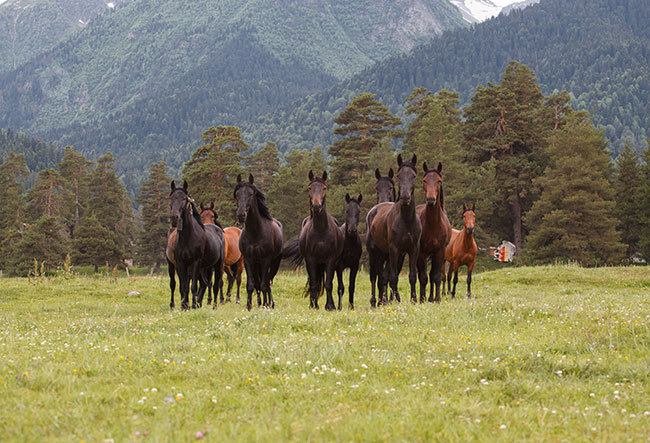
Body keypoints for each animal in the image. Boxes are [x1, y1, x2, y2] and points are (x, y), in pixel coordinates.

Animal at [167, 181, 223, 312]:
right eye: (171, 198)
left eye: (184, 198)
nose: (174, 217)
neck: (188, 237)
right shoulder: (181, 263)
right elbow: (184, 286)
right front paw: (185, 306)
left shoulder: (195, 262)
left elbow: (193, 286)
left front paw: (191, 305)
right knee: (203, 283)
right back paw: (197, 303)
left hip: (217, 265)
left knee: (215, 284)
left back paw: (214, 305)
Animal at [234, 172, 282, 310]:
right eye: (237, 194)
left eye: (250, 194)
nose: (241, 215)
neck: (255, 233)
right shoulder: (249, 260)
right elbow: (251, 285)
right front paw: (249, 306)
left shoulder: (265, 260)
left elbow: (264, 284)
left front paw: (265, 305)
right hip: (256, 265)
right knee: (259, 283)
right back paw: (260, 302)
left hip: (273, 263)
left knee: (267, 282)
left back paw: (269, 303)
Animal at [364, 154, 420, 306]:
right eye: (399, 176)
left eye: (413, 176)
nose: (405, 197)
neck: (406, 220)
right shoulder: (394, 250)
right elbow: (392, 277)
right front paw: (395, 300)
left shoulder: (412, 250)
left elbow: (412, 276)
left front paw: (414, 299)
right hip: (374, 253)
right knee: (374, 276)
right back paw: (374, 301)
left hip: (383, 254)